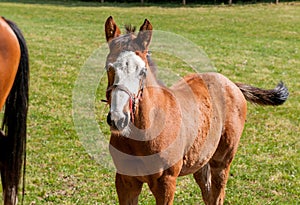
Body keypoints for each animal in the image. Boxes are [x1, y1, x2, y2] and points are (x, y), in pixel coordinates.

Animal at [103, 16, 288, 205]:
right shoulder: (125, 181)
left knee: (218, 196)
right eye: (108, 67)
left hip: (222, 162)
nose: (118, 119)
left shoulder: (166, 182)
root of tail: (232, 84)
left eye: (143, 71)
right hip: (201, 160)